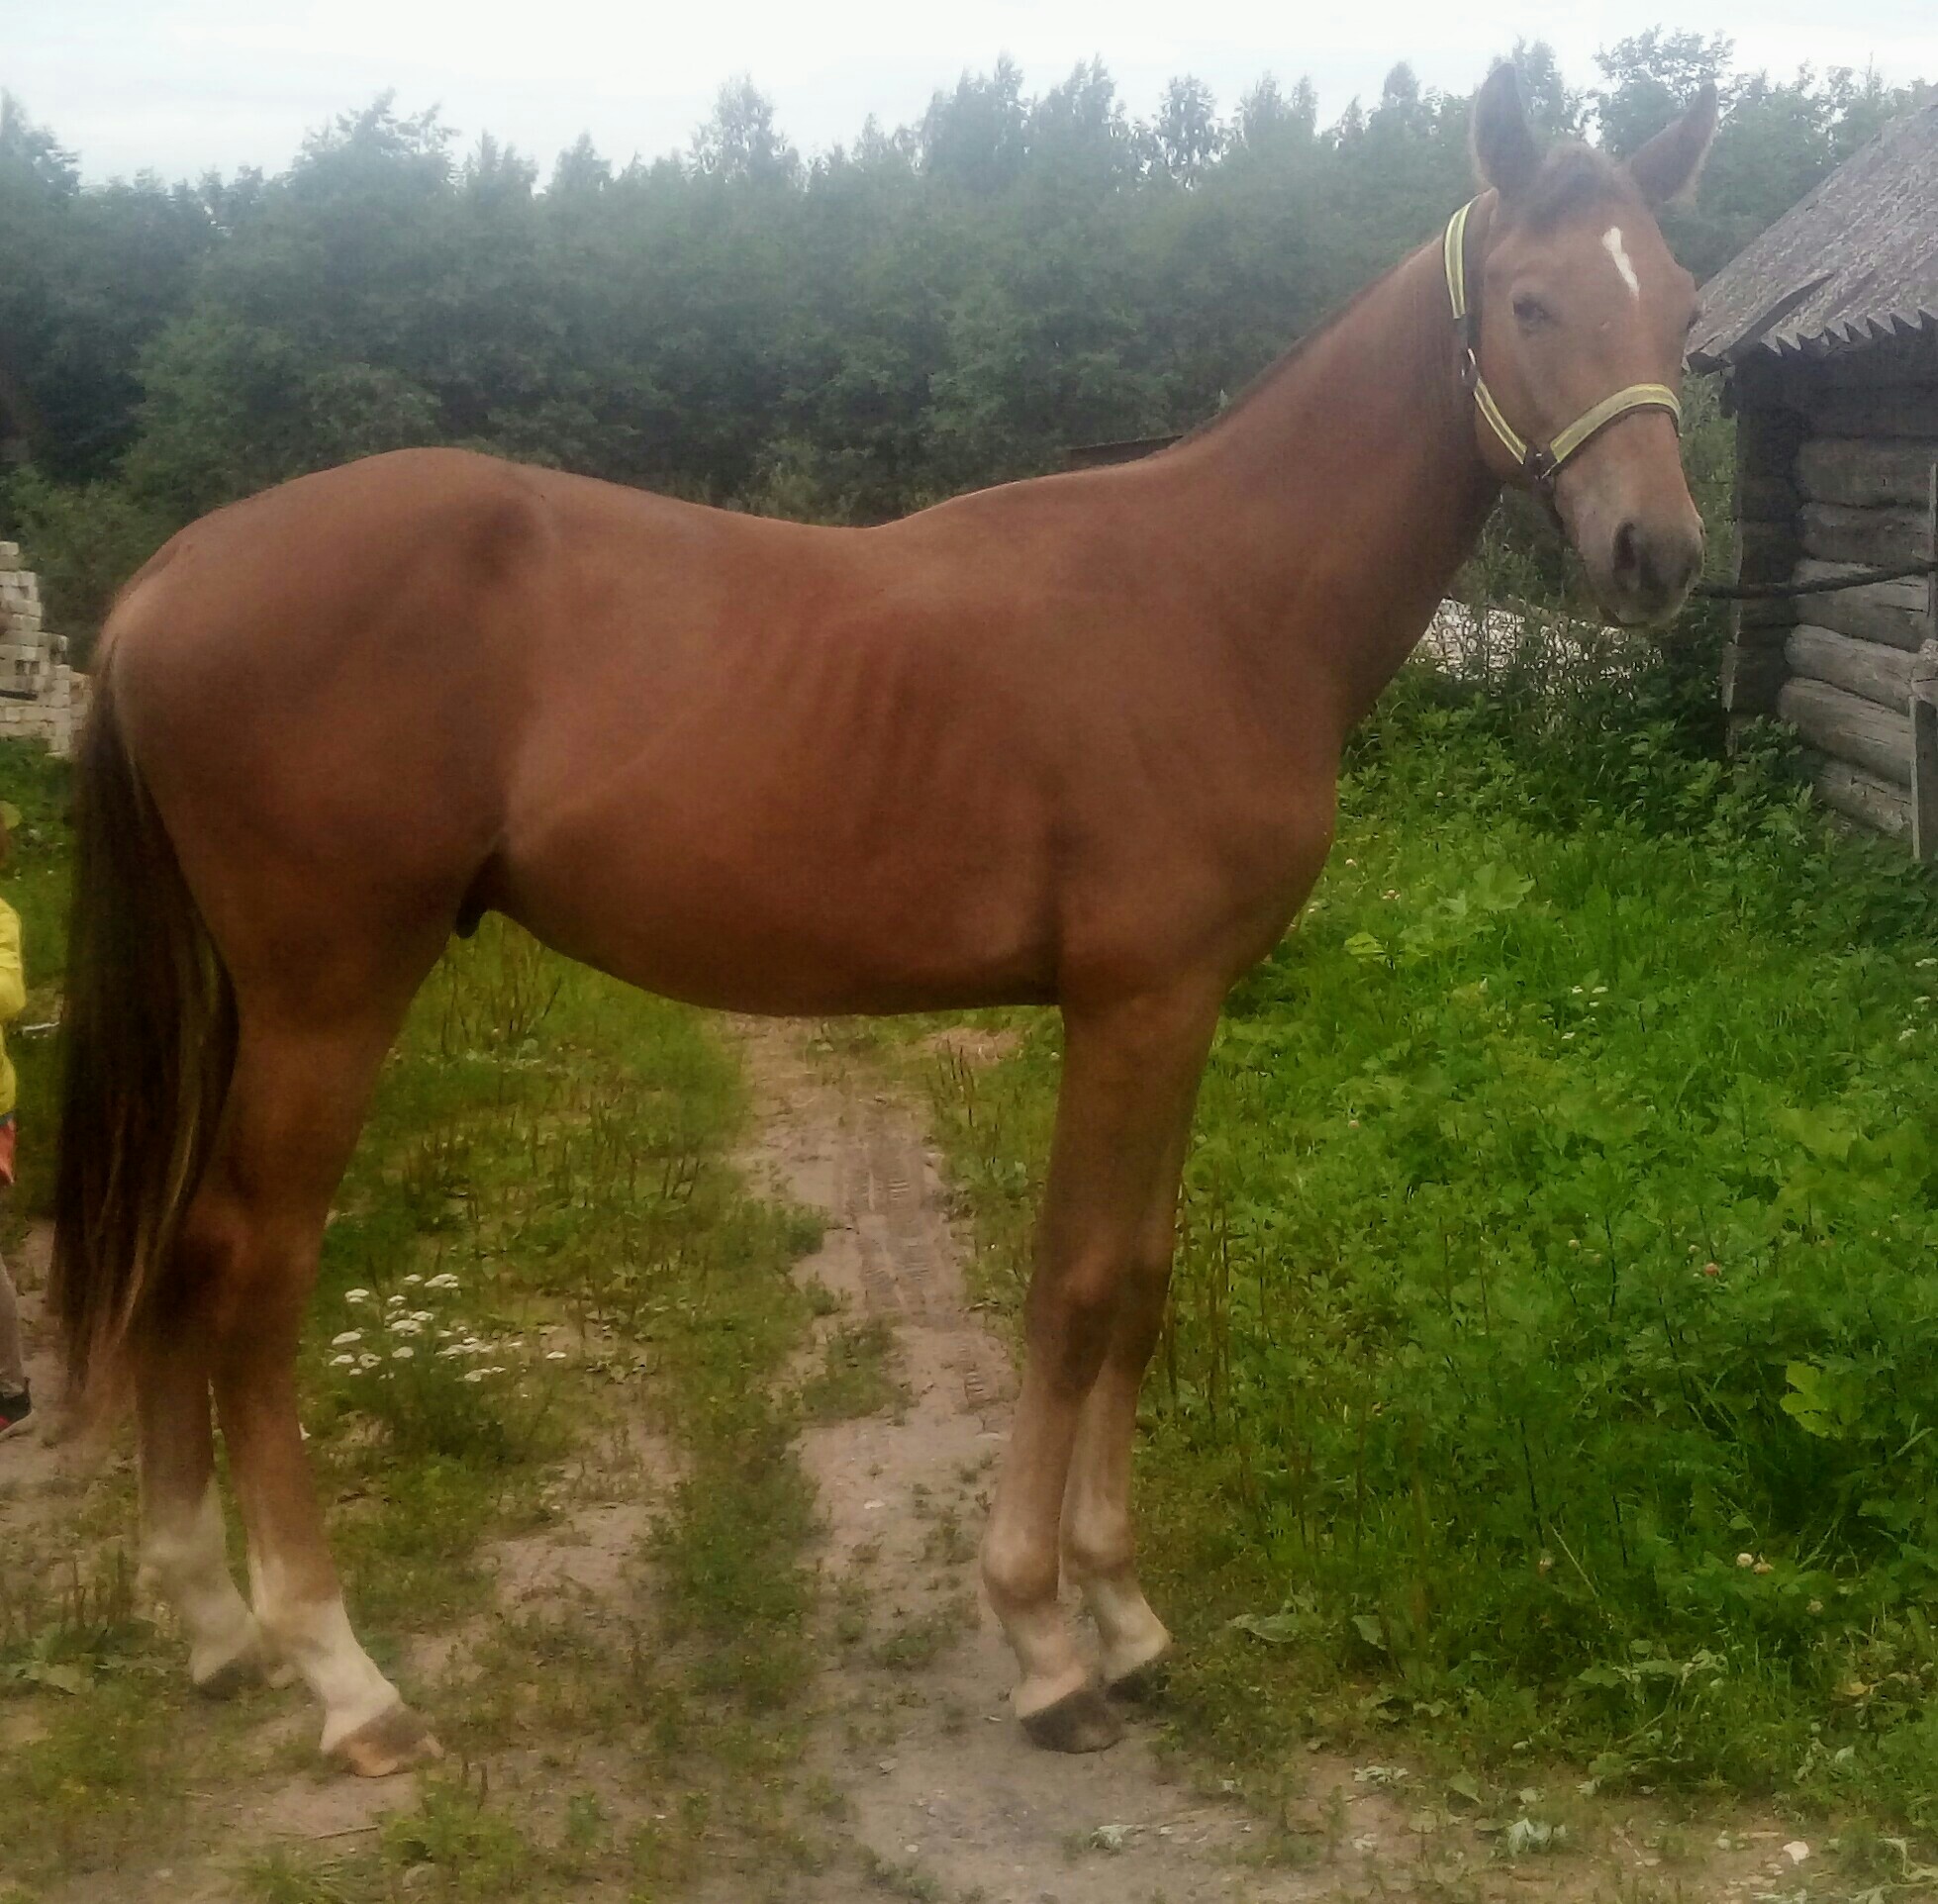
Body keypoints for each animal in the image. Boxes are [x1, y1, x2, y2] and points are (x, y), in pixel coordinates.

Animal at [51, 66, 1716, 1775]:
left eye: (1683, 313)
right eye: (1529, 301)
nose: (1656, 553)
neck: (1220, 599)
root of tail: (166, 579)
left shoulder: (1183, 1011)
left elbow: (1142, 1281)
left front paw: (1125, 1619)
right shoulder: (1135, 1004)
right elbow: (1075, 1288)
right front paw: (1047, 1641)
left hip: (257, 1008)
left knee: (181, 1256)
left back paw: (212, 1627)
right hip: (329, 1004)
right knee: (253, 1278)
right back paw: (341, 1675)